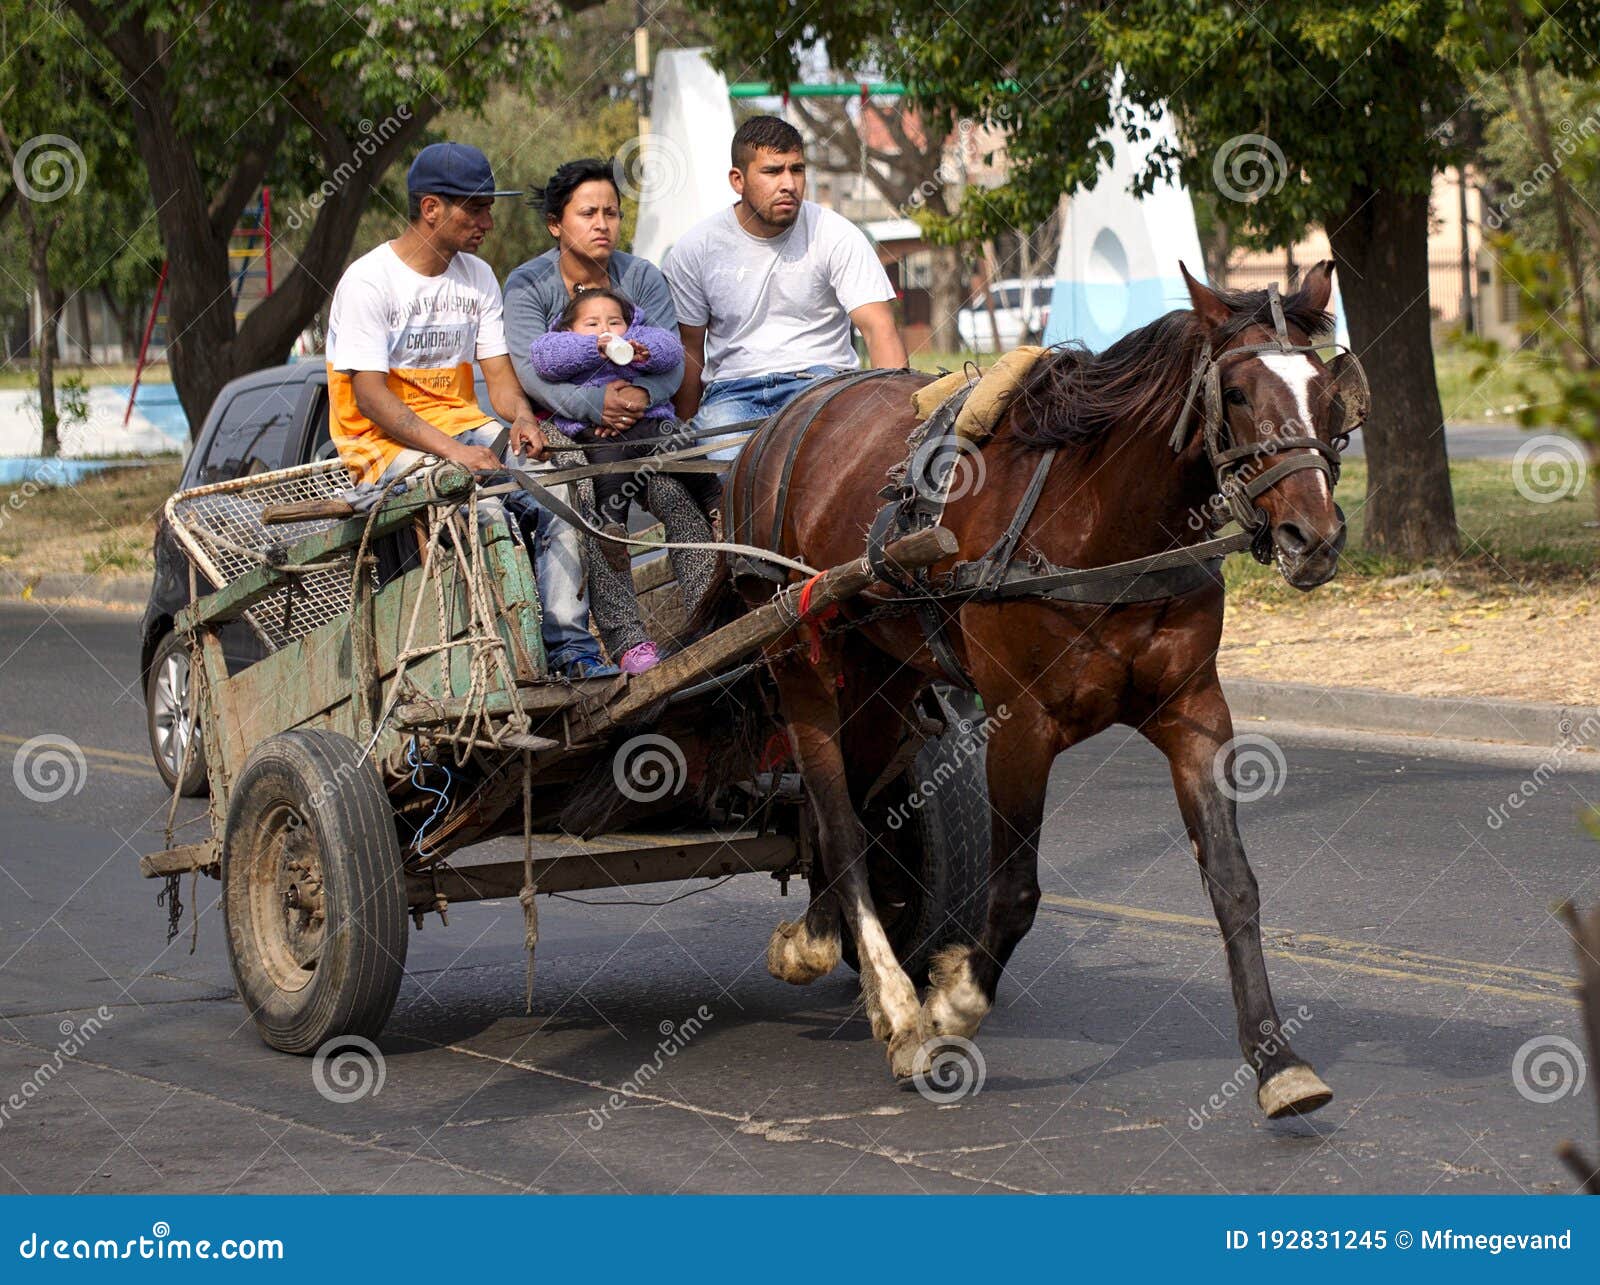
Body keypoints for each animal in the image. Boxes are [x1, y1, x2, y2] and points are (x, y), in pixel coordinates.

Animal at [720, 260, 1356, 1113]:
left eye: (1326, 390)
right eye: (1240, 393)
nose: (1313, 537)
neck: (1102, 521)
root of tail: (779, 423)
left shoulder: (1194, 711)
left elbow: (1233, 880)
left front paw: (1277, 1059)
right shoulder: (1019, 724)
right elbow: (1015, 890)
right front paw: (951, 1004)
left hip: (884, 676)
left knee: (844, 801)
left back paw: (821, 936)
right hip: (802, 656)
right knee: (836, 810)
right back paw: (895, 1000)